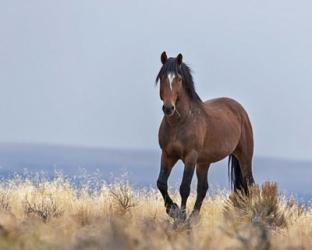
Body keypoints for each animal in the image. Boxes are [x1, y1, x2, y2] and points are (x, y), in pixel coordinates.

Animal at [155, 51, 255, 220]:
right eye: (162, 77)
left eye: (179, 79)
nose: (169, 108)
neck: (180, 122)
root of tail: (240, 109)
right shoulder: (167, 155)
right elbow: (161, 183)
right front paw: (173, 209)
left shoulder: (190, 157)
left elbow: (185, 188)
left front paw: (181, 216)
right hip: (204, 162)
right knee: (203, 188)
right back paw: (194, 218)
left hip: (244, 157)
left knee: (249, 184)